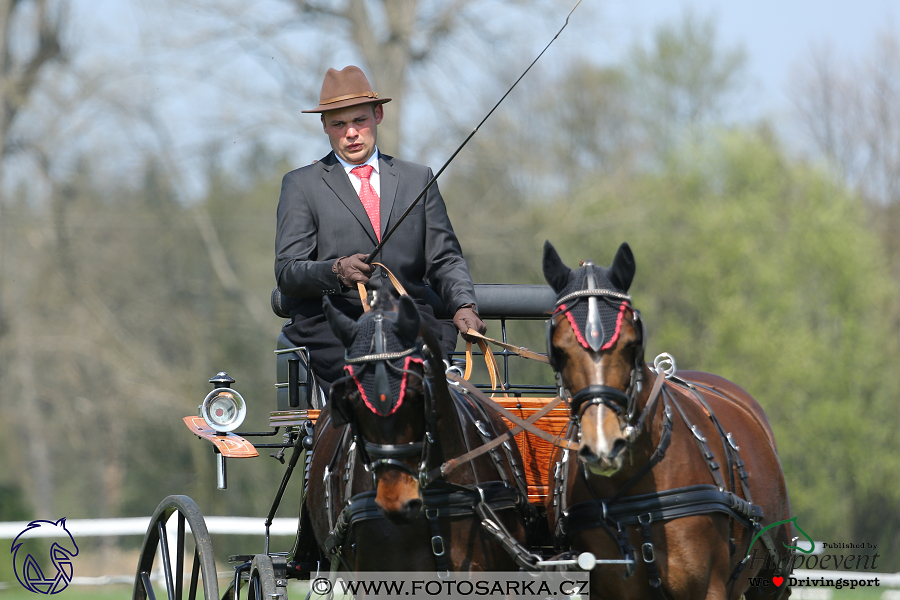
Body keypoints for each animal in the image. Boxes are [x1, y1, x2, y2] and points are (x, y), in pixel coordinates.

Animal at [540, 243, 796, 600]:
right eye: (559, 350)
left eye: (631, 344)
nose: (604, 445)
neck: (635, 499)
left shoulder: (708, 588)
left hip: (771, 578)